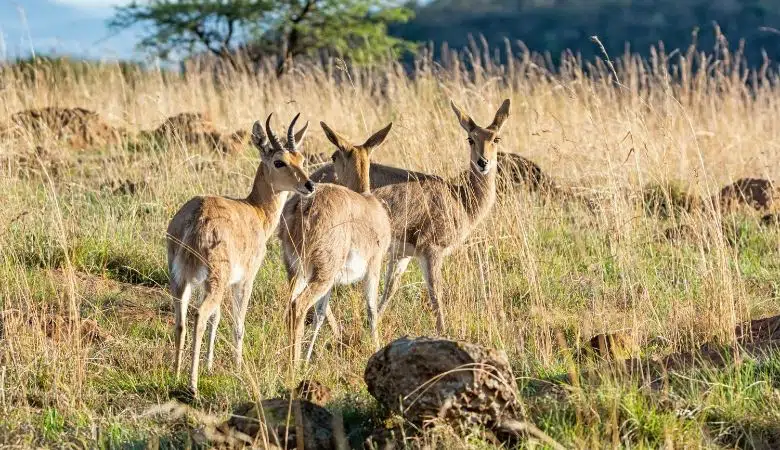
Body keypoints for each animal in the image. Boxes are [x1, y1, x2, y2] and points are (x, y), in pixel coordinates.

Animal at [166, 113, 313, 394]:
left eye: (301, 158)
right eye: (279, 161)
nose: (309, 185)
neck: (255, 211)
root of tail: (196, 217)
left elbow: (217, 319)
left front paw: (210, 366)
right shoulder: (245, 280)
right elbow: (238, 323)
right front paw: (236, 367)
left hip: (181, 281)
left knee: (181, 321)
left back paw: (176, 373)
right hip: (215, 280)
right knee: (199, 315)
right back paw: (192, 385)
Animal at [278, 121, 394, 365]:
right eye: (334, 155)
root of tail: (305, 204)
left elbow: (320, 315)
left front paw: (309, 358)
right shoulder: (374, 266)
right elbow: (372, 310)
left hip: (297, 271)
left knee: (291, 305)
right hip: (322, 273)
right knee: (298, 307)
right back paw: (294, 367)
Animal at [370, 99, 511, 333]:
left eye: (496, 138)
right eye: (471, 138)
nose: (483, 162)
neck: (460, 200)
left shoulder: (402, 254)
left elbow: (389, 289)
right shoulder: (432, 250)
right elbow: (436, 293)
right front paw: (443, 331)